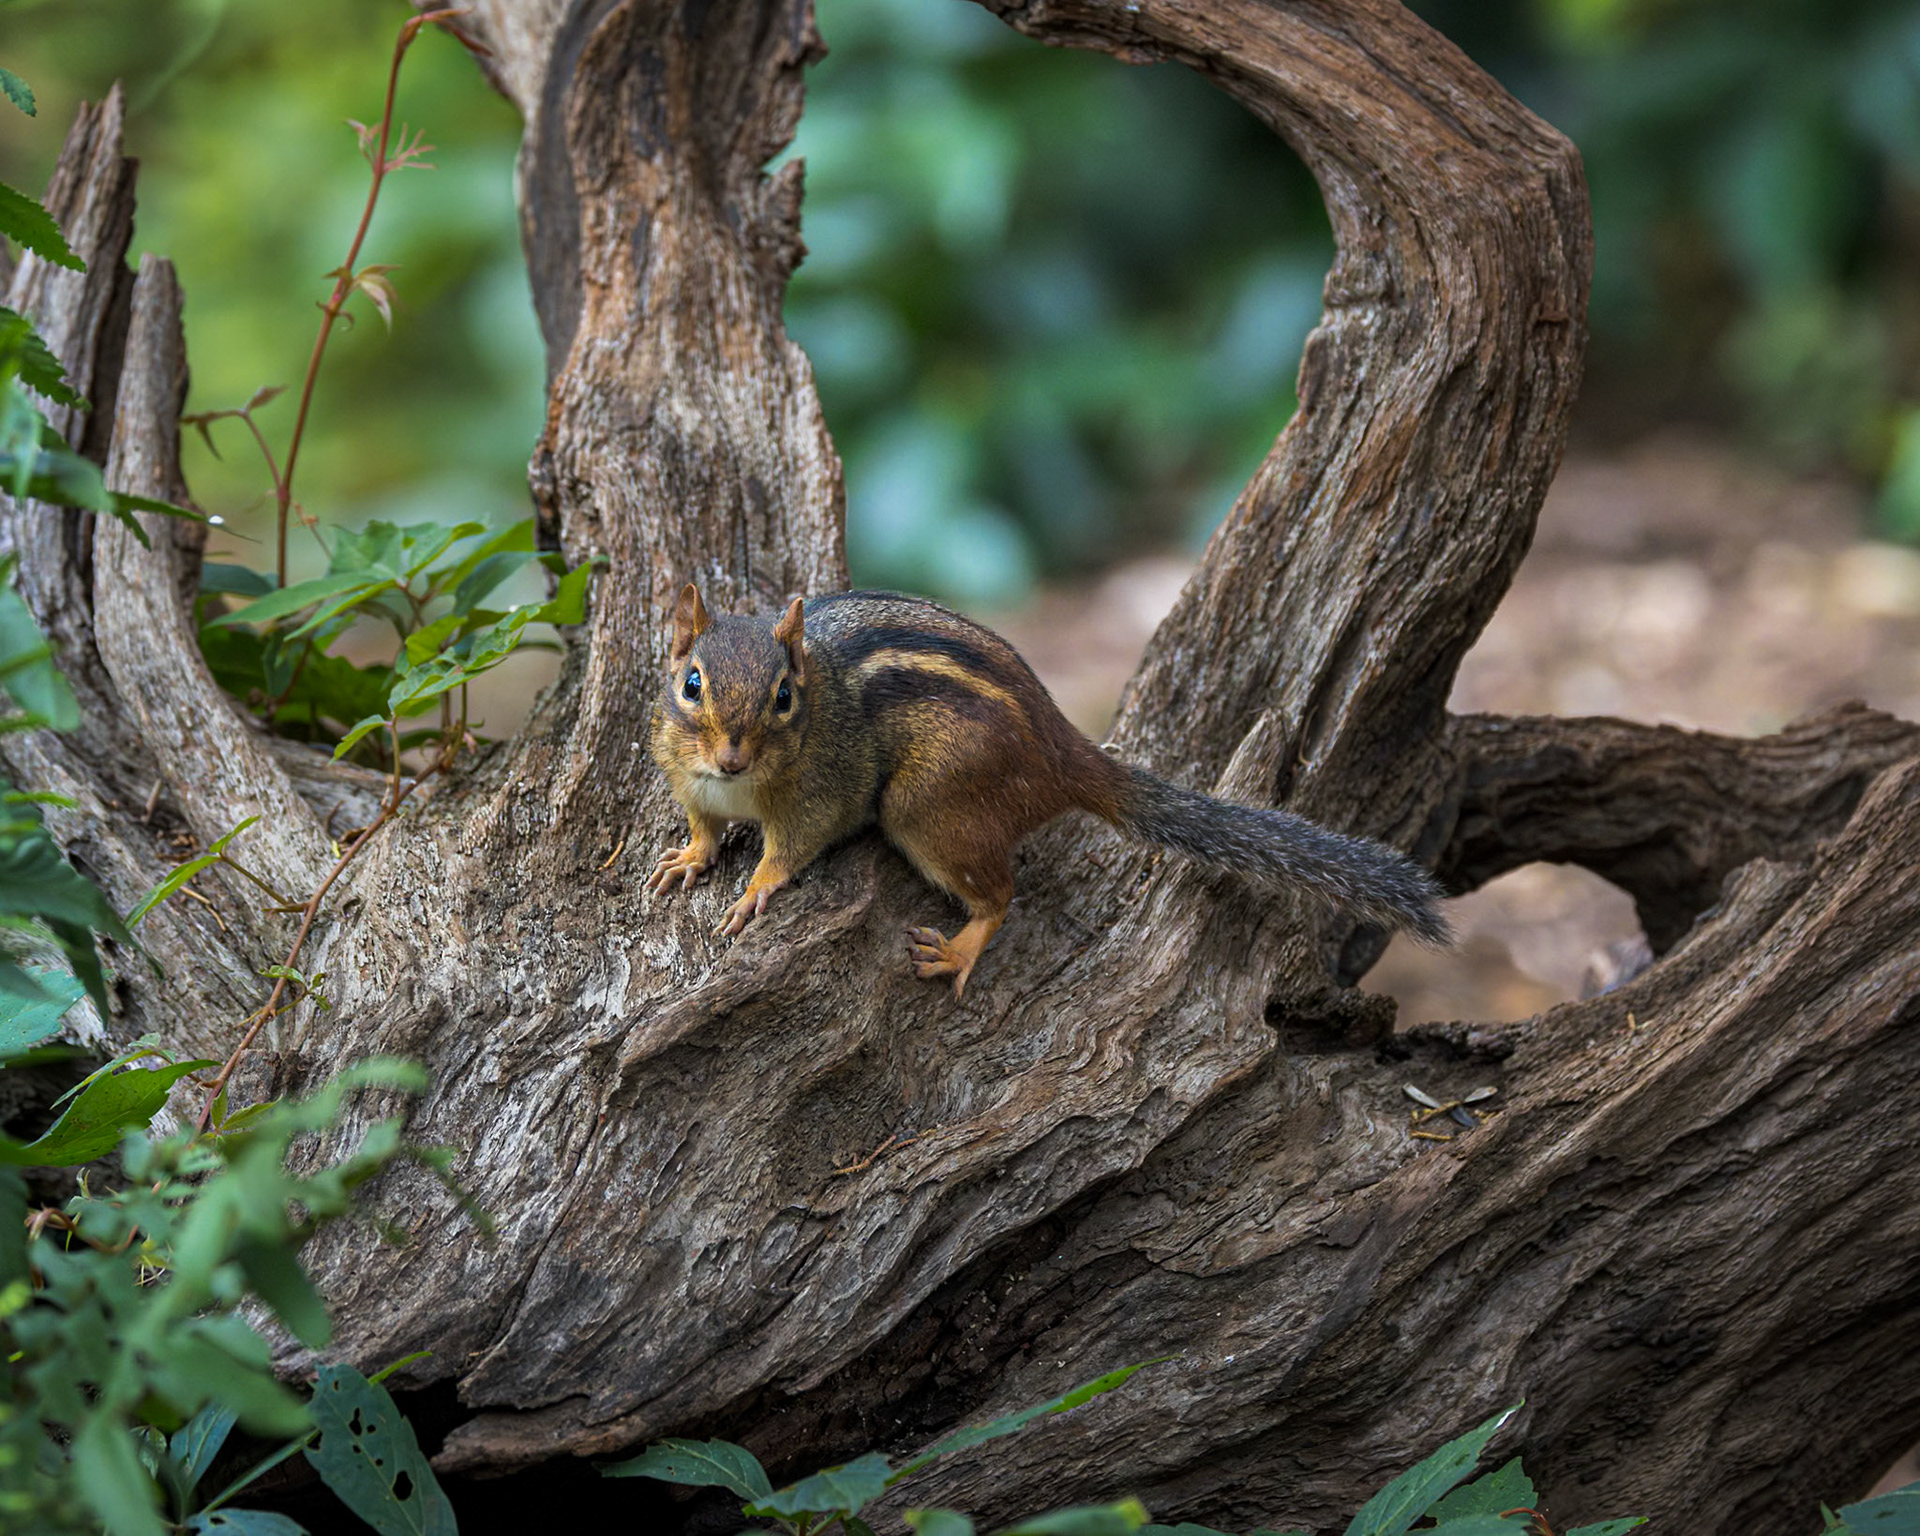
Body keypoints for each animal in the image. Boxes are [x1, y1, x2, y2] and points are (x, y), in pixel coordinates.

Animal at [647, 583, 1449, 996]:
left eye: (784, 697)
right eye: (691, 684)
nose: (732, 756)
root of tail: (1062, 751)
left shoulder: (822, 790)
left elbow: (792, 848)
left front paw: (755, 889)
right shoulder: (689, 781)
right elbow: (703, 826)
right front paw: (690, 857)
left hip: (927, 809)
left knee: (1002, 895)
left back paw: (961, 949)